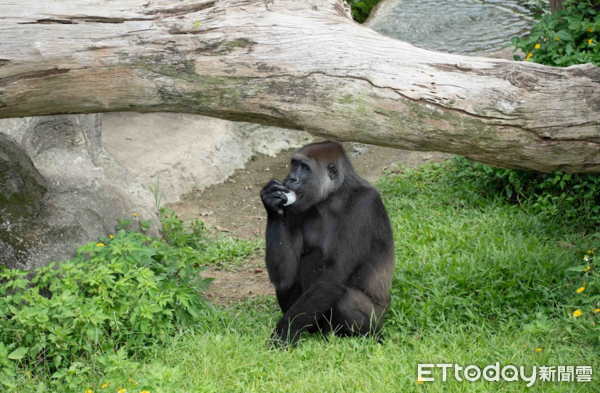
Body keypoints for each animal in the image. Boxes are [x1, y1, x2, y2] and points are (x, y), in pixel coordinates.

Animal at [260, 140, 396, 346]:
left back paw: (372, 337)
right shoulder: (296, 209)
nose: (291, 178)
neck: (334, 196)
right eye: (294, 164)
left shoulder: (363, 205)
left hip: (377, 317)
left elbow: (333, 276)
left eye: (305, 168)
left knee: (345, 300)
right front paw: (271, 204)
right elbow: (285, 277)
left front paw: (283, 333)